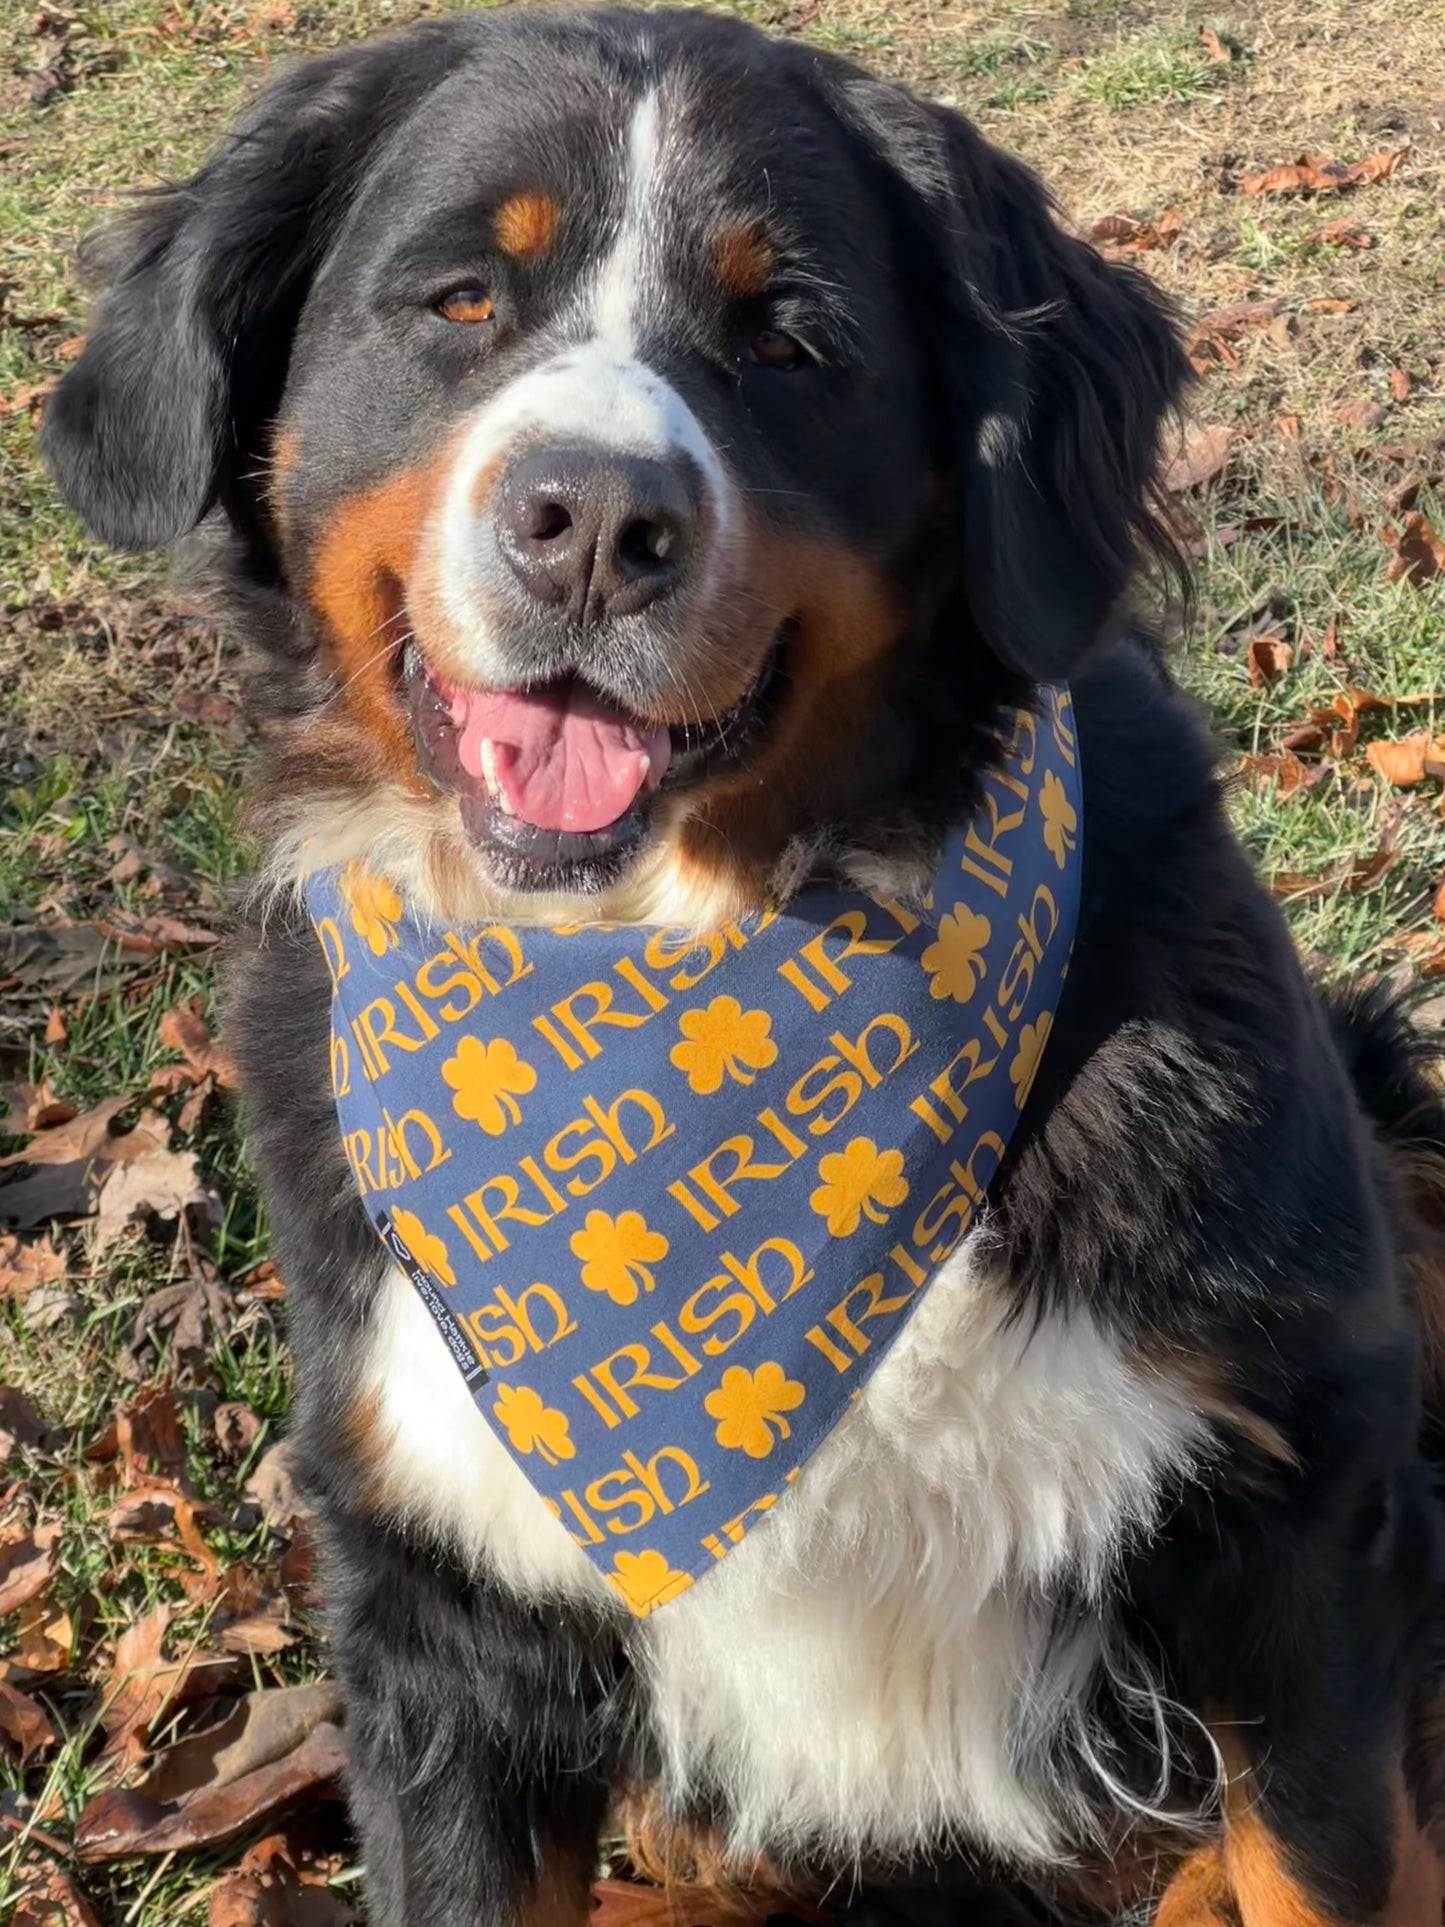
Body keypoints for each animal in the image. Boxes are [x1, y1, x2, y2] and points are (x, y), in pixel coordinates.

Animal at [36, 11, 1445, 1927]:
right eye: (461, 297)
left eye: (788, 337)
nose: (592, 521)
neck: (675, 975)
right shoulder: (440, 1620)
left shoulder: (1295, 1511)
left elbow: (1313, 1849)